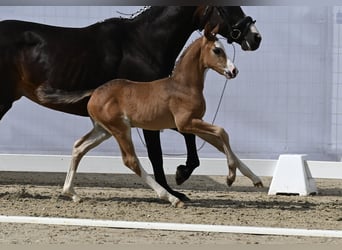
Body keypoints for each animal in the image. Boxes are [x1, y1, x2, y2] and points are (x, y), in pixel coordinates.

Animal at [0, 5, 262, 201]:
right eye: (228, 7)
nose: (256, 37)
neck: (142, 42)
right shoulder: (172, 122)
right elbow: (164, 154)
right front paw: (178, 183)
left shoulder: (180, 121)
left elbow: (217, 141)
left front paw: (252, 179)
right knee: (130, 159)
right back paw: (167, 196)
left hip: (105, 129)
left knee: (79, 147)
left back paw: (71, 192)